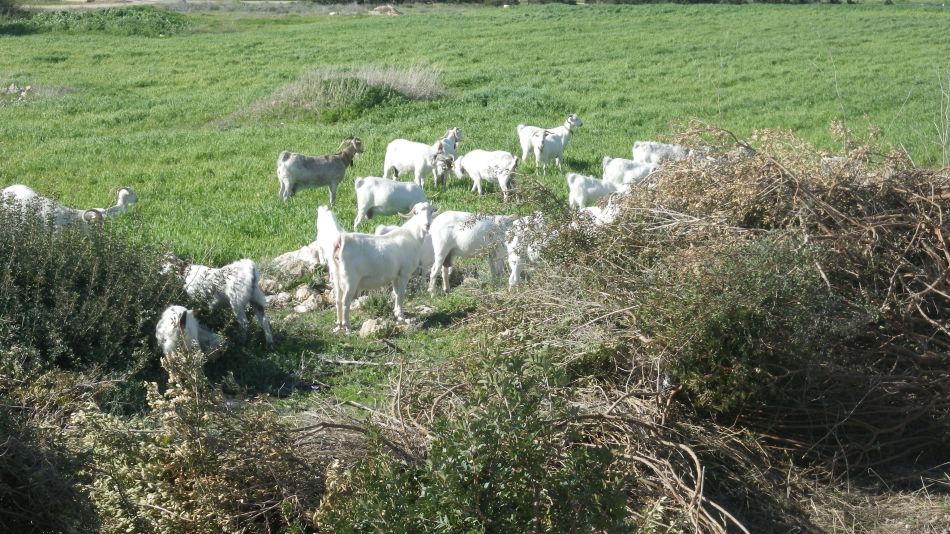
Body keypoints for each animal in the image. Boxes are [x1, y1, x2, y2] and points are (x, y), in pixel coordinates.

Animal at [331, 202, 437, 332]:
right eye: (416, 212)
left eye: (431, 211)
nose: (427, 225)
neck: (412, 236)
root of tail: (342, 241)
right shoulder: (405, 272)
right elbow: (401, 294)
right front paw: (401, 316)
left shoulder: (395, 275)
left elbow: (396, 293)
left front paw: (396, 313)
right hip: (350, 280)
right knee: (345, 302)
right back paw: (347, 326)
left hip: (337, 276)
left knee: (338, 301)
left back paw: (338, 324)